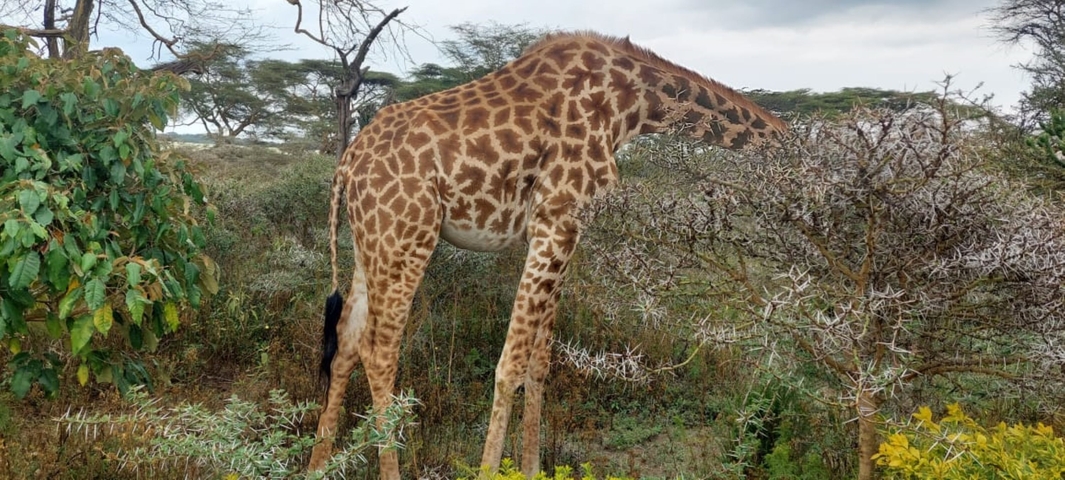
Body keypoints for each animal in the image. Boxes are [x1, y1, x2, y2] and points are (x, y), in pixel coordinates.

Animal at [308, 31, 787, 478]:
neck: (631, 105)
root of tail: (346, 165)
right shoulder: (557, 220)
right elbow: (510, 363)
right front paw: (491, 470)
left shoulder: (562, 231)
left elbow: (539, 361)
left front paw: (533, 466)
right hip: (407, 237)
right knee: (379, 351)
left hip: (371, 243)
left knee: (347, 341)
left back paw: (318, 466)